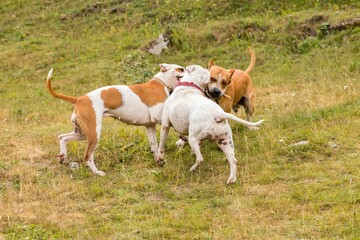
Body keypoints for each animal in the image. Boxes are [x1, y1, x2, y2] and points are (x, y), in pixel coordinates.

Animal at [46, 63, 184, 176]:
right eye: (181, 69)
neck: (162, 82)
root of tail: (78, 99)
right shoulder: (161, 118)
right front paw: (181, 139)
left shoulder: (150, 126)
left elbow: (154, 146)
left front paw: (159, 159)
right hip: (94, 134)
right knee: (88, 156)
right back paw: (97, 172)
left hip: (83, 133)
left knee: (62, 137)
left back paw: (63, 157)